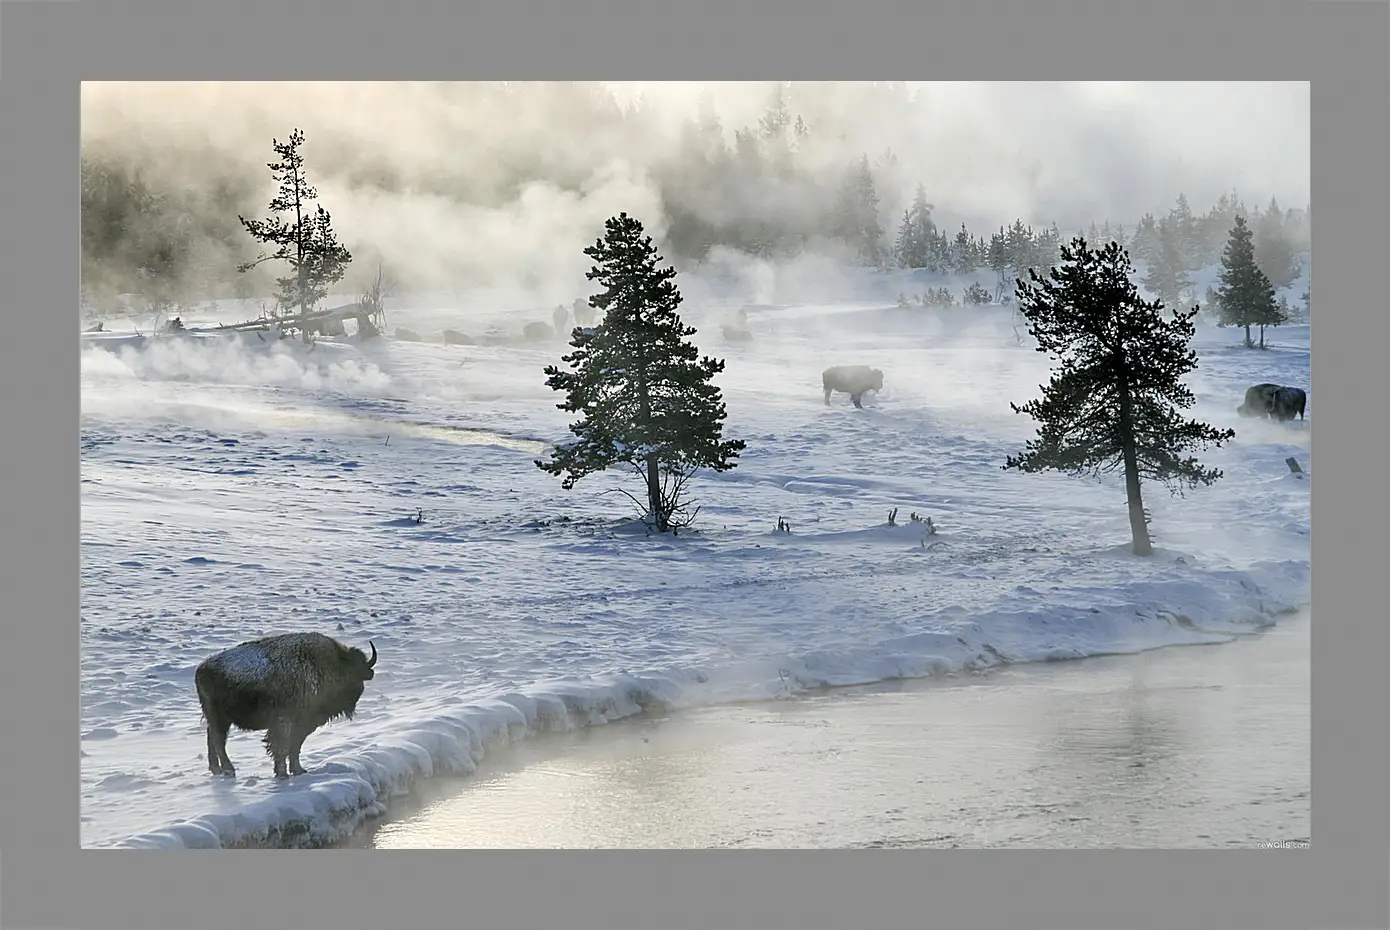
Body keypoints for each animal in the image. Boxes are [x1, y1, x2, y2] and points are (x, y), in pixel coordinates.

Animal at [196, 631, 378, 778]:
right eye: (354, 672)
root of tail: (201, 669)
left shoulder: (302, 725)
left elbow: (294, 746)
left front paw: (298, 771)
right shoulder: (286, 722)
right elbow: (283, 746)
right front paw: (283, 774)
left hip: (218, 718)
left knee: (212, 738)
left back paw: (217, 770)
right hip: (220, 717)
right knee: (218, 740)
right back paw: (229, 770)